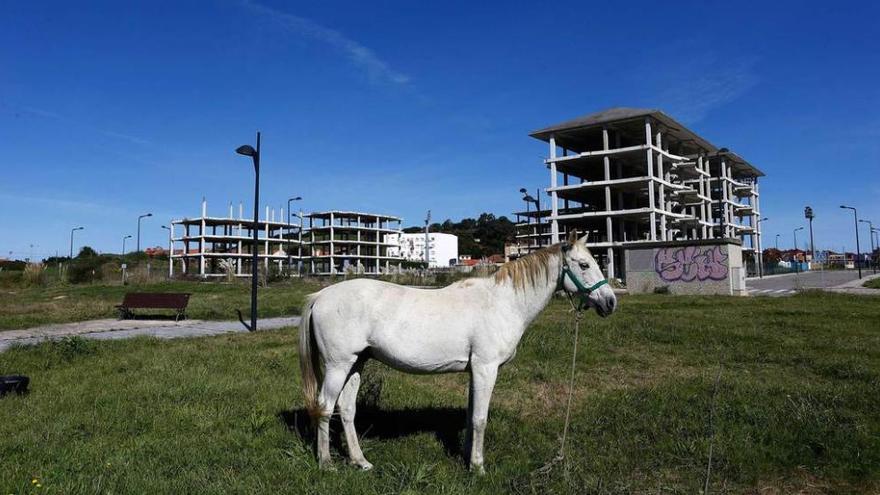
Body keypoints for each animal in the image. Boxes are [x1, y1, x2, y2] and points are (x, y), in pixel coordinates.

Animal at [300, 232, 616, 472]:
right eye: (584, 265)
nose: (610, 302)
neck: (503, 302)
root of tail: (321, 296)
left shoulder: (475, 370)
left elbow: (470, 416)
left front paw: (467, 458)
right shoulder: (486, 368)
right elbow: (480, 419)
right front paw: (478, 467)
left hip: (357, 363)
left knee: (347, 409)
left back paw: (360, 461)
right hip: (338, 365)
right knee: (325, 407)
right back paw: (326, 463)